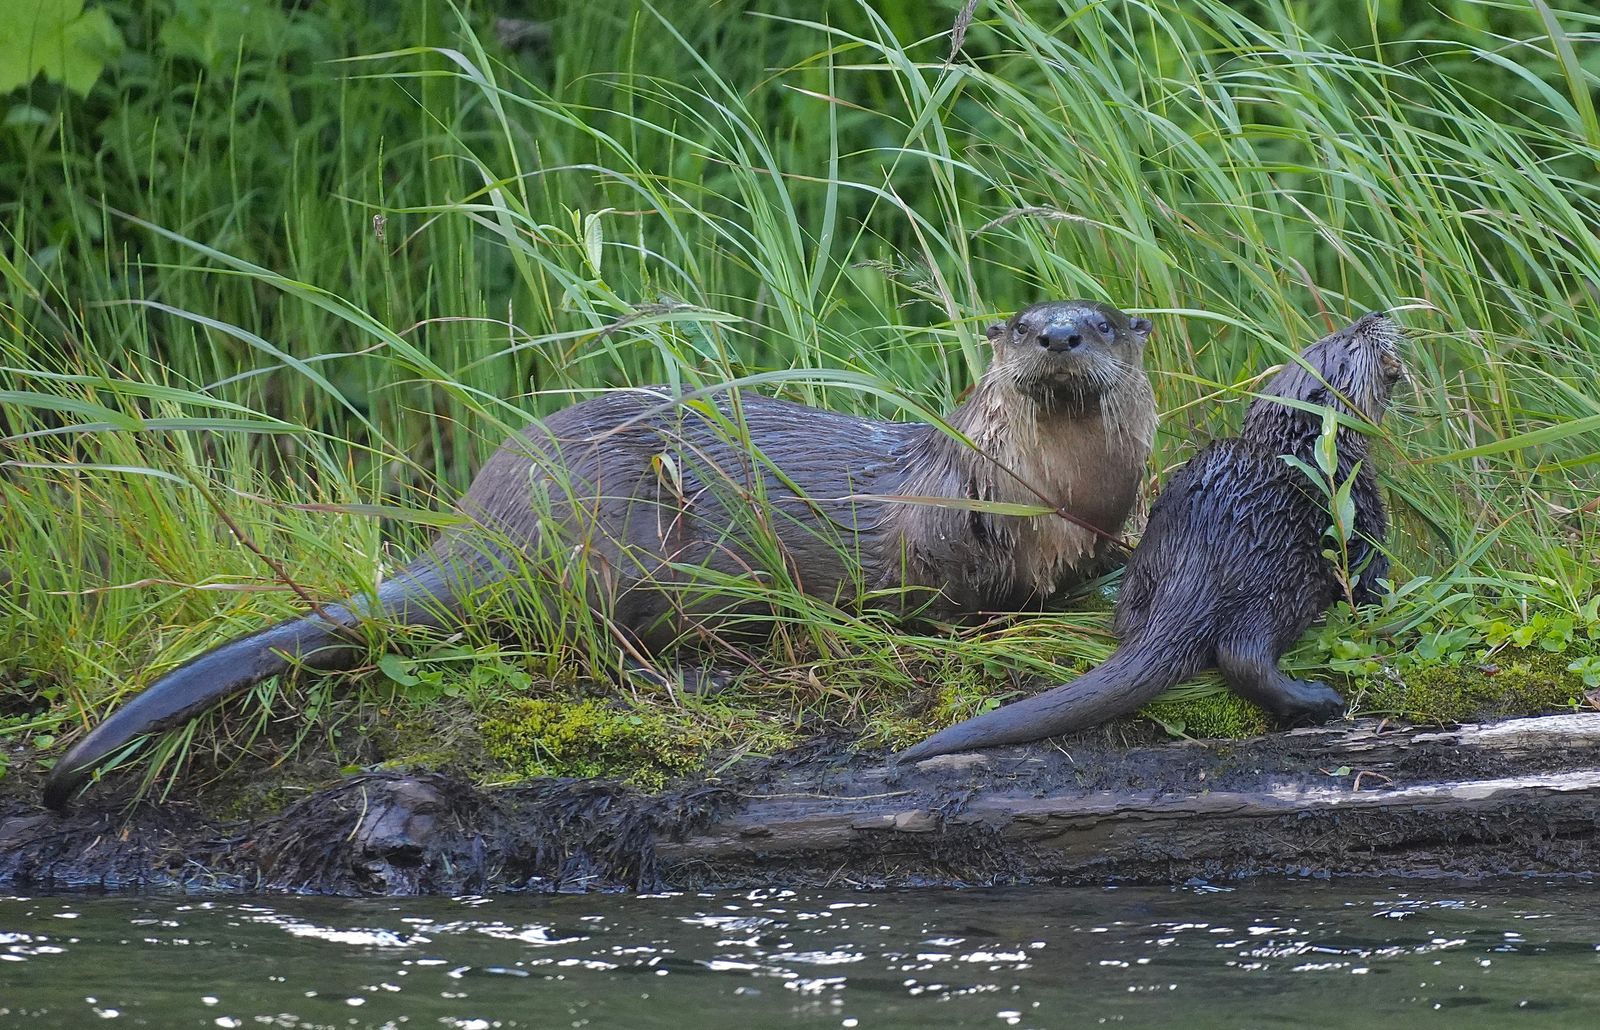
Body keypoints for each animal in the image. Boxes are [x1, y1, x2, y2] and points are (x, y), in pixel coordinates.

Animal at [44, 300, 1157, 808]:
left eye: (1099, 321)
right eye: (1025, 324)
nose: (1059, 338)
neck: (1044, 498)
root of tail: (487, 528)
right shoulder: (942, 534)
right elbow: (950, 600)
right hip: (619, 541)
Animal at [897, 312, 1403, 763]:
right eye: (1350, 340)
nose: (1376, 314)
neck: (1305, 447)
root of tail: (1195, 564)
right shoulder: (1359, 510)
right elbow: (1369, 579)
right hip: (1279, 577)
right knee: (1243, 654)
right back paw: (1318, 700)